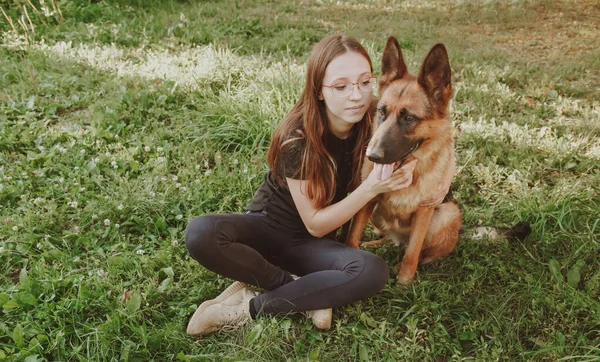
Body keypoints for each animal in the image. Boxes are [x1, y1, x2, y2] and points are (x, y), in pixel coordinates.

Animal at [344, 37, 462, 286]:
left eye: (409, 118)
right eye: (381, 111)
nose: (372, 156)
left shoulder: (425, 211)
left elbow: (414, 250)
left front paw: (404, 281)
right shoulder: (366, 200)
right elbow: (351, 236)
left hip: (447, 214)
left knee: (420, 251)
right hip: (376, 214)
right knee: (390, 239)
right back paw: (375, 244)